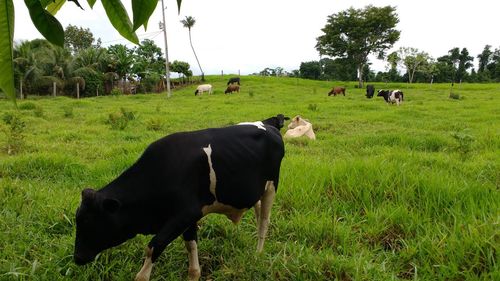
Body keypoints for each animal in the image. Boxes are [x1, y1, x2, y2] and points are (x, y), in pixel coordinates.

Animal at [72, 114, 288, 280]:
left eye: (89, 222)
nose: (77, 257)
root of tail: (269, 125)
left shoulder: (185, 214)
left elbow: (154, 246)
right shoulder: (190, 217)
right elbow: (191, 247)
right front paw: (194, 273)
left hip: (272, 186)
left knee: (264, 222)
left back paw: (258, 254)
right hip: (257, 191)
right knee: (258, 212)